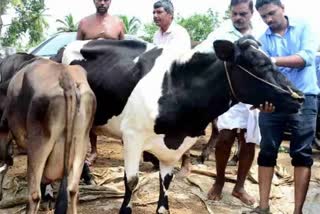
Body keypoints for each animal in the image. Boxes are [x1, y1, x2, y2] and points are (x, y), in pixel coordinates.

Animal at [59, 36, 302, 213]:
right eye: (259, 64)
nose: (299, 97)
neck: (176, 85)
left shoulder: (173, 147)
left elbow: (166, 182)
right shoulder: (132, 137)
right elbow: (132, 181)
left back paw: (88, 177)